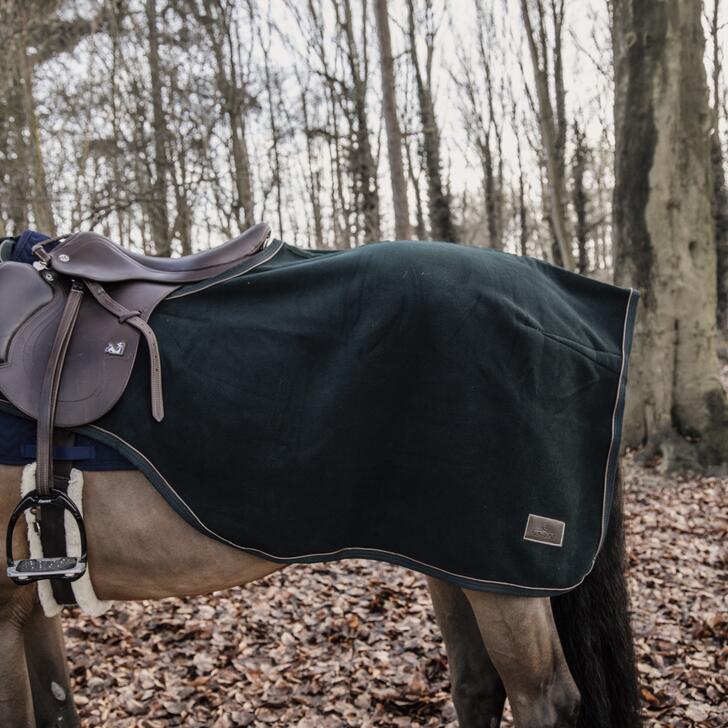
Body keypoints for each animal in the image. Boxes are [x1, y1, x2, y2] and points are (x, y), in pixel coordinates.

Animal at [0, 462, 640, 728]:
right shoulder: (29, 607)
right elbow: (57, 710)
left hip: (508, 583)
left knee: (546, 701)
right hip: (460, 564)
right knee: (478, 688)